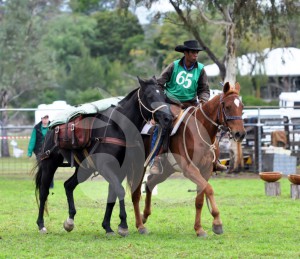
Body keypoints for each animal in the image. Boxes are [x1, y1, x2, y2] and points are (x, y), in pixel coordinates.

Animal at [129, 82, 246, 238]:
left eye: (242, 107)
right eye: (227, 106)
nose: (240, 134)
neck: (200, 130)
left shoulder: (206, 170)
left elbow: (200, 199)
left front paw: (199, 229)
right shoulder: (190, 170)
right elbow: (209, 189)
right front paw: (217, 222)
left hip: (167, 169)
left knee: (149, 183)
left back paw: (144, 216)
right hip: (139, 165)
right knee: (136, 192)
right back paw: (140, 225)